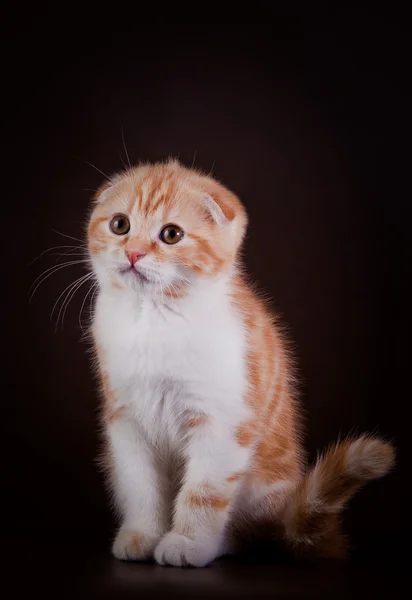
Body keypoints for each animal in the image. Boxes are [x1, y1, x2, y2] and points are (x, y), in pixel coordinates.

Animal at [87, 159, 396, 568]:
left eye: (171, 234)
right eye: (120, 224)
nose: (134, 253)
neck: (155, 318)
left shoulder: (222, 421)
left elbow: (203, 490)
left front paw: (187, 543)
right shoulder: (125, 419)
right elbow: (139, 484)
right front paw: (142, 534)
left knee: (251, 532)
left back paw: (220, 543)